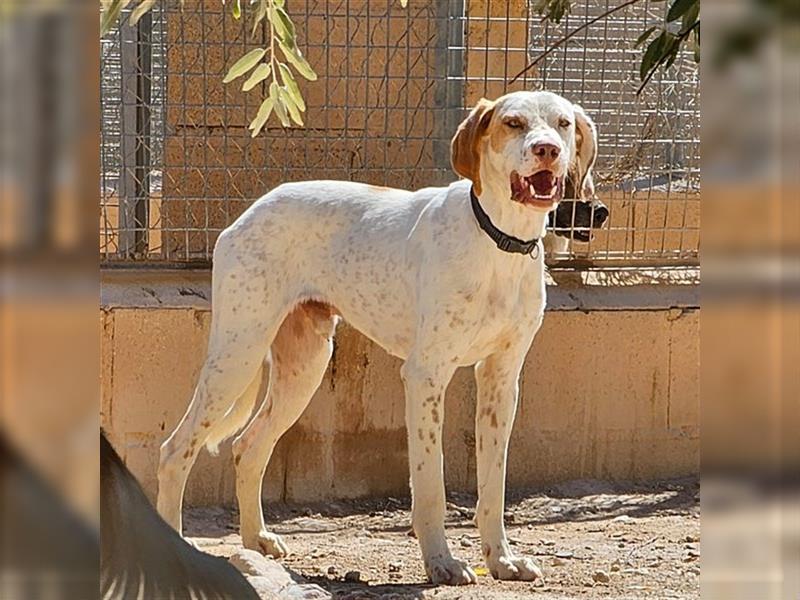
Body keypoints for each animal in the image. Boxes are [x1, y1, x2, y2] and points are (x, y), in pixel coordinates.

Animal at [158, 90, 592, 584]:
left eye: (562, 123)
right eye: (514, 123)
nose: (547, 150)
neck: (497, 241)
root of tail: (249, 211)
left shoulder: (501, 379)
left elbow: (493, 486)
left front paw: (500, 558)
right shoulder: (425, 376)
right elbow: (430, 484)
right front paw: (440, 561)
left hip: (304, 366)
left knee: (247, 447)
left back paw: (256, 541)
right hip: (238, 353)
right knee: (175, 450)